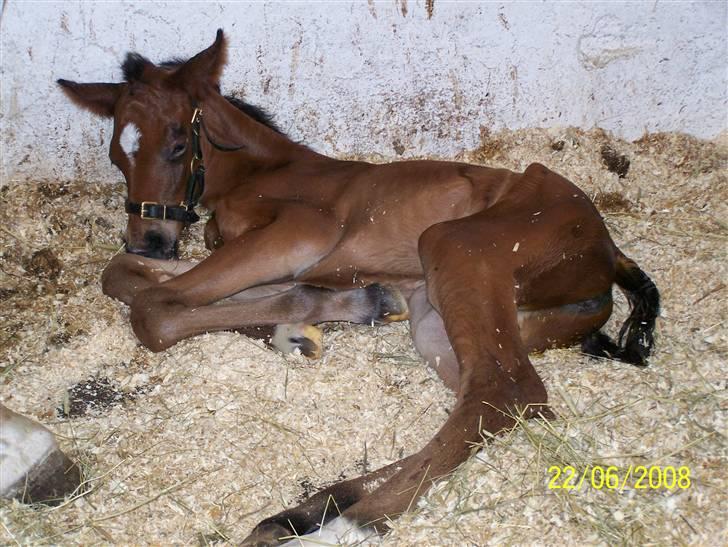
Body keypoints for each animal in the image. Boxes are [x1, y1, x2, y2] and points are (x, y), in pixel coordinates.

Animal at [59, 31, 656, 547]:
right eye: (117, 153)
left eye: (180, 143)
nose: (151, 239)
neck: (262, 172)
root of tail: (607, 252)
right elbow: (129, 276)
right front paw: (323, 318)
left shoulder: (298, 236)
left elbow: (154, 307)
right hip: (438, 321)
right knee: (497, 402)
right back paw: (301, 513)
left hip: (454, 246)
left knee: (504, 391)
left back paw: (345, 526)